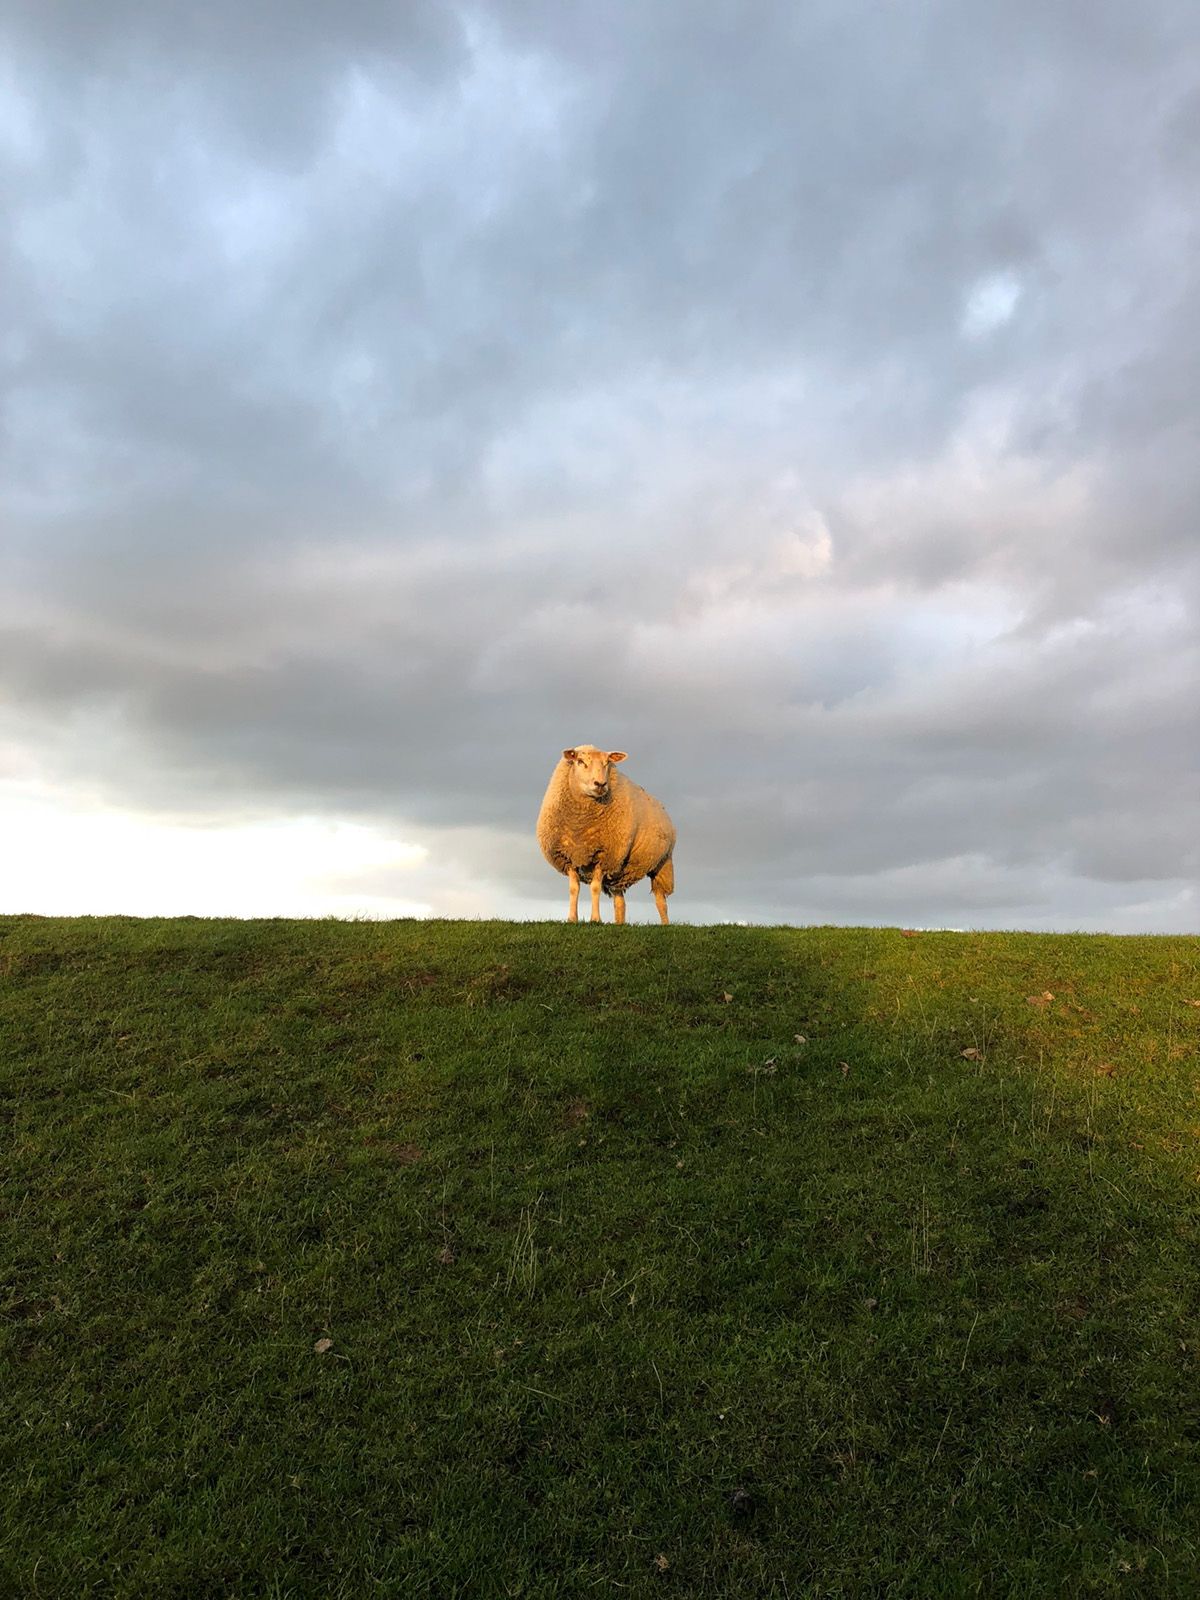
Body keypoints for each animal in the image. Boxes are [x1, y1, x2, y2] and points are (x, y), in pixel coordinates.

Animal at [537, 745, 678, 928]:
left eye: (607, 763)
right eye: (580, 761)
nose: (600, 784)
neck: (579, 825)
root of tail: (662, 807)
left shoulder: (603, 857)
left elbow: (595, 888)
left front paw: (595, 919)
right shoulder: (569, 857)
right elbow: (574, 889)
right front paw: (572, 919)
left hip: (662, 863)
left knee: (660, 900)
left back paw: (665, 925)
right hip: (619, 871)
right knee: (620, 903)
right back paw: (619, 924)